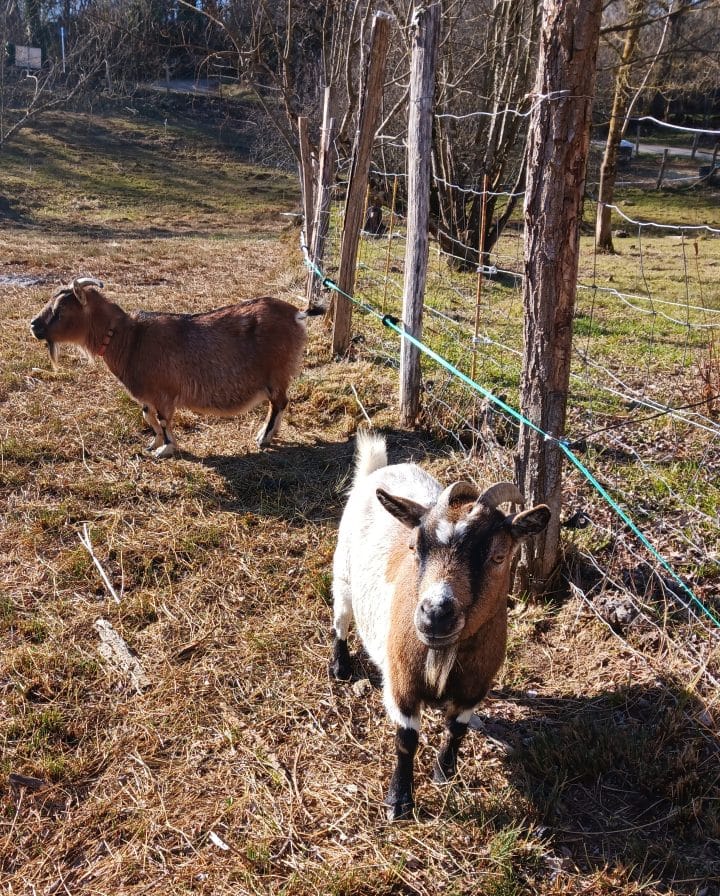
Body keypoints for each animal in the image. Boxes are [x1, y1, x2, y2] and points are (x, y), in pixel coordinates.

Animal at [30, 276, 310, 456]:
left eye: (59, 310)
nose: (34, 325)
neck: (130, 339)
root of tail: (297, 313)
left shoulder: (164, 393)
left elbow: (164, 420)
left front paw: (166, 449)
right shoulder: (147, 395)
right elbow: (147, 415)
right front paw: (152, 444)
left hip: (277, 373)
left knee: (279, 403)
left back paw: (264, 438)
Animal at [332, 432, 552, 820]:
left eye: (499, 556)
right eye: (414, 547)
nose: (435, 614)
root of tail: (380, 469)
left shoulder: (474, 686)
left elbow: (457, 728)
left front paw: (444, 771)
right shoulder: (402, 682)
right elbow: (406, 740)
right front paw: (399, 801)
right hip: (343, 573)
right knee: (341, 616)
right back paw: (340, 666)